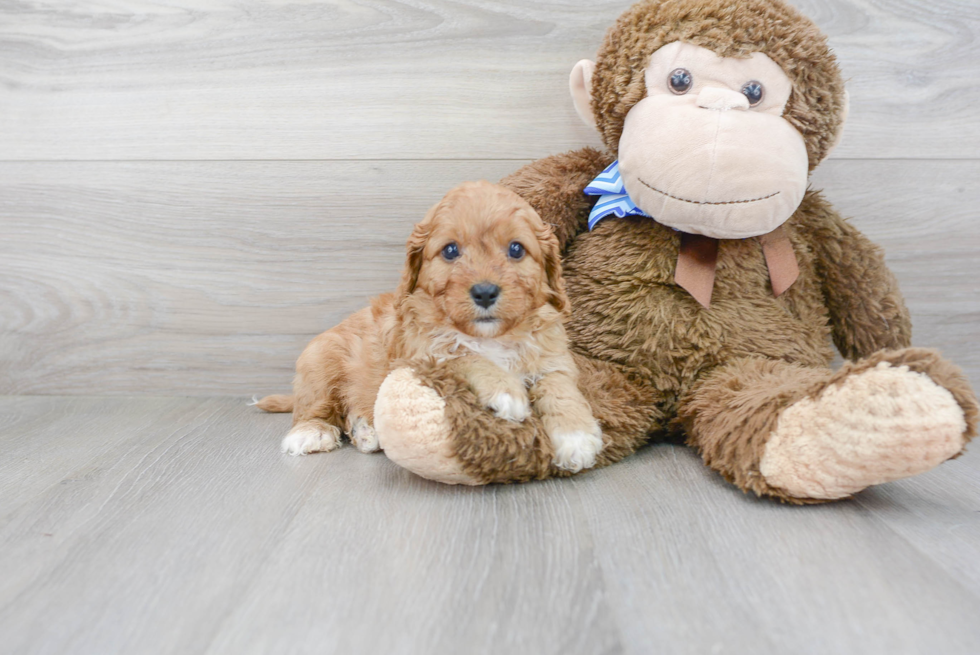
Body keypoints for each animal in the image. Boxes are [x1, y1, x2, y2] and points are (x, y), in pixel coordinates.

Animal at [256, 182, 600, 474]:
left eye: (516, 249)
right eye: (450, 250)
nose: (485, 292)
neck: (490, 337)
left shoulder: (553, 359)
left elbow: (561, 389)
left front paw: (577, 435)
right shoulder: (421, 356)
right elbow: (466, 356)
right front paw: (506, 390)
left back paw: (365, 430)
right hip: (319, 362)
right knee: (314, 407)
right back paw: (311, 432)